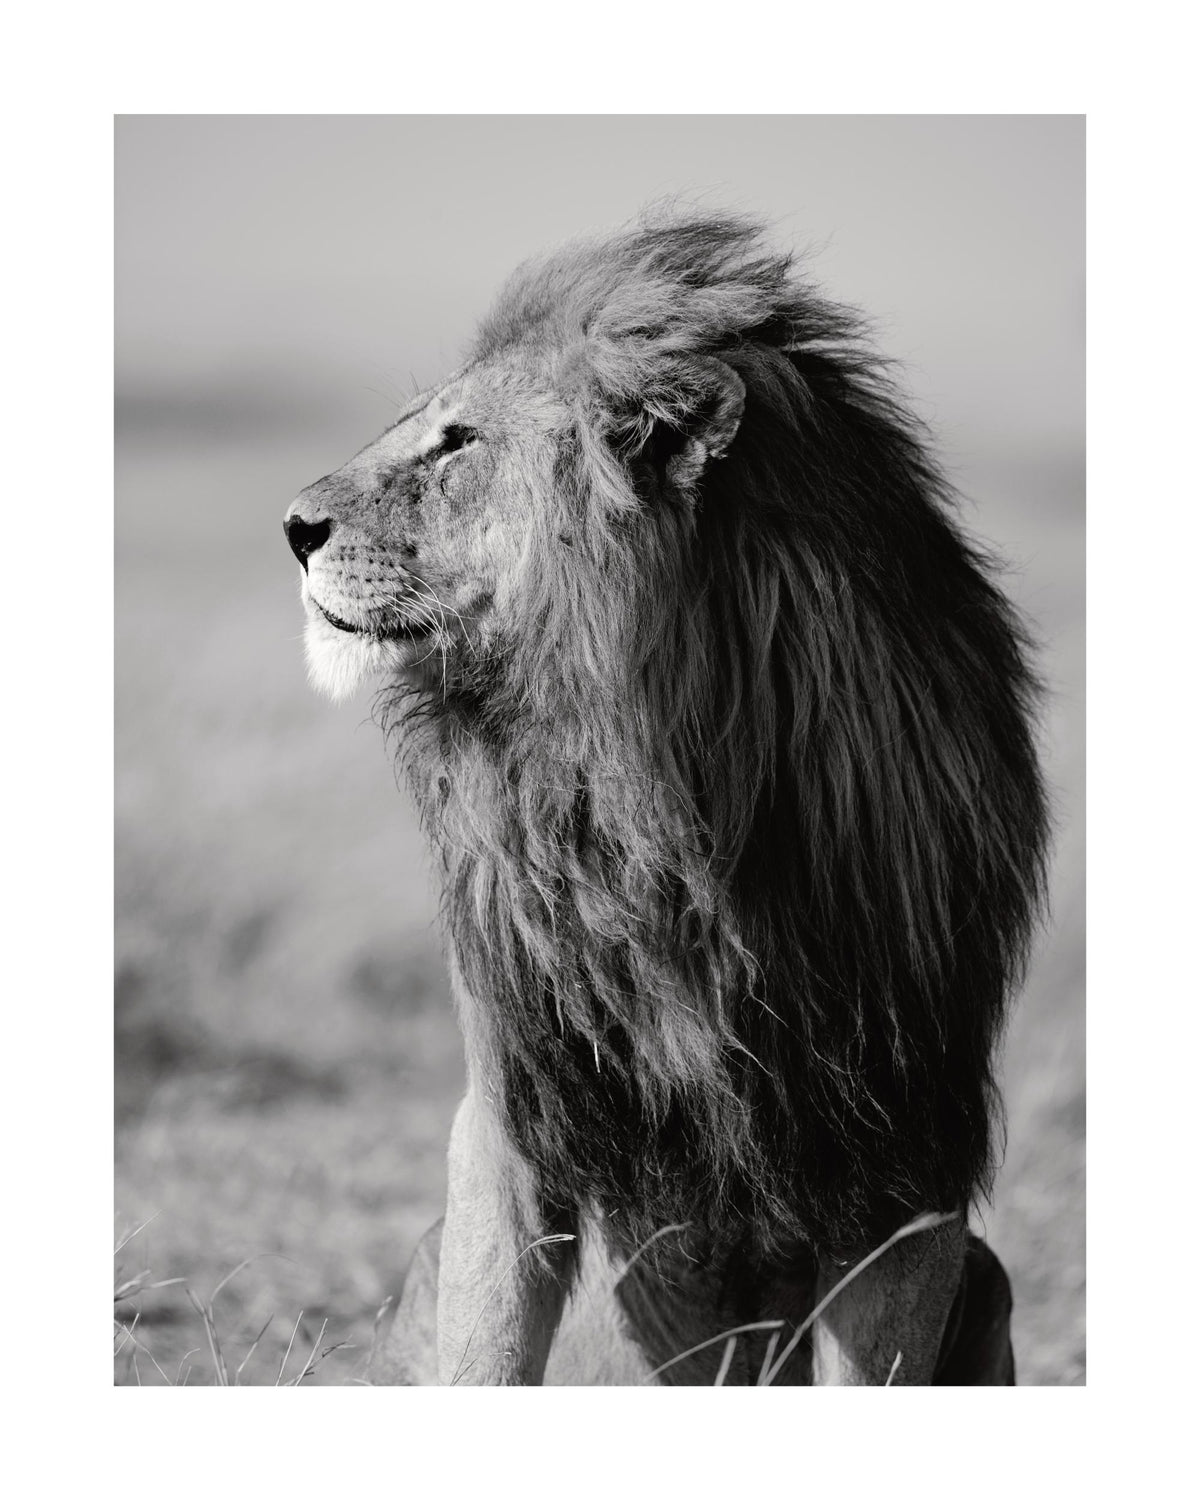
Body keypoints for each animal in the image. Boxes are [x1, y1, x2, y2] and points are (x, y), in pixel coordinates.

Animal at [284, 212, 1046, 1384]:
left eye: (458, 443)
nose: (292, 526)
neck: (652, 800)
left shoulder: (912, 1149)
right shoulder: (514, 1106)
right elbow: (486, 1351)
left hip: (990, 1270)